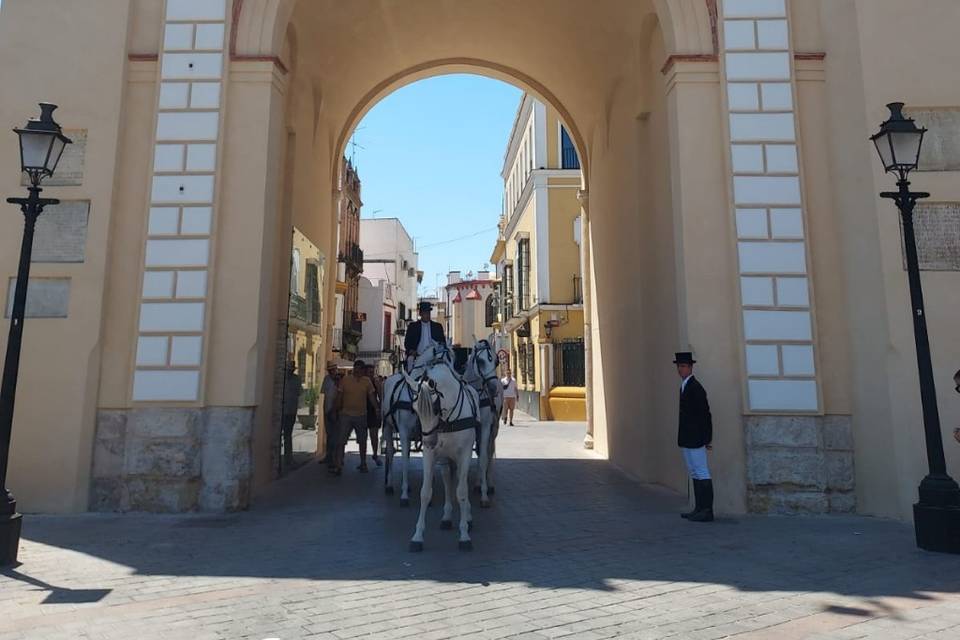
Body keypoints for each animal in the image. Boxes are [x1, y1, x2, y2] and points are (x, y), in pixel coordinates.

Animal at [404, 356, 480, 552]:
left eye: (435, 407)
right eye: (414, 408)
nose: (429, 441)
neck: (448, 419)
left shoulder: (465, 453)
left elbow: (462, 491)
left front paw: (464, 535)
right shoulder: (430, 454)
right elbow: (425, 492)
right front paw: (417, 536)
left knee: (460, 480)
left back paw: (468, 516)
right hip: (445, 458)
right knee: (447, 479)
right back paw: (447, 517)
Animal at [464, 340, 506, 504]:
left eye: (496, 361)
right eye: (480, 361)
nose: (493, 388)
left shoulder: (487, 426)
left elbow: (483, 458)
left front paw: (484, 495)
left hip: (495, 428)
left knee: (489, 451)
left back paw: (489, 483)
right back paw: (477, 482)